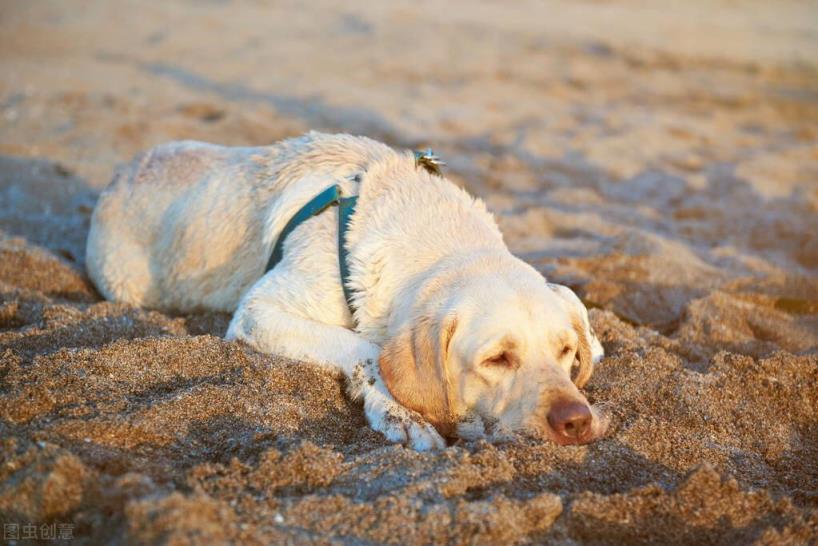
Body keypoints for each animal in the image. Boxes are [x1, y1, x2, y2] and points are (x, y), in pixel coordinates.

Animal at [86, 131, 604, 446]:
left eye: (564, 351)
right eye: (497, 359)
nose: (576, 421)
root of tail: (121, 173)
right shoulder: (260, 310)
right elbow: (366, 349)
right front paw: (402, 414)